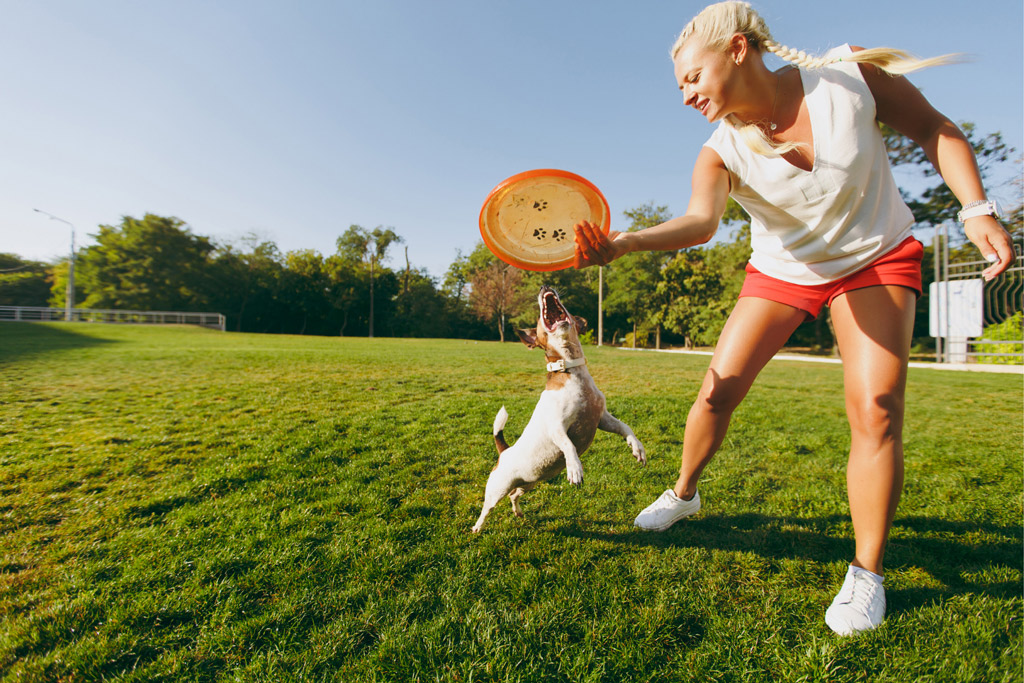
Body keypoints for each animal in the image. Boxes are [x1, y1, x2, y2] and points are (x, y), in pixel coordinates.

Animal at [473, 284, 647, 532]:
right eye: (538, 319)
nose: (545, 285)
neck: (571, 369)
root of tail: (504, 451)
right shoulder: (557, 427)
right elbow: (568, 445)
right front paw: (575, 468)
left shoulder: (602, 418)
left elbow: (626, 428)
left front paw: (637, 448)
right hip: (497, 489)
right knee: (487, 508)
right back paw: (477, 527)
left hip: (529, 483)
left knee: (514, 495)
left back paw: (518, 512)